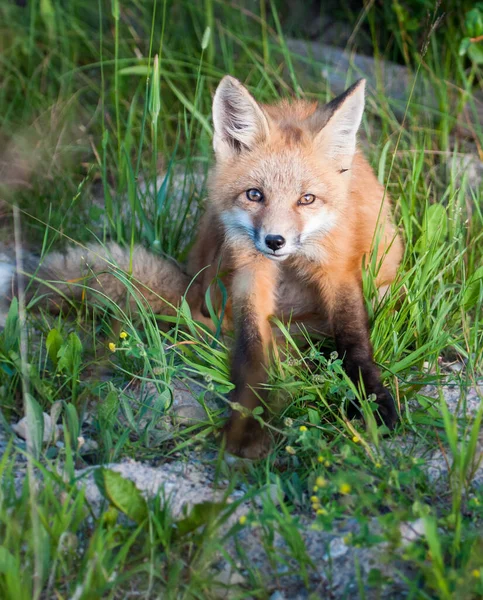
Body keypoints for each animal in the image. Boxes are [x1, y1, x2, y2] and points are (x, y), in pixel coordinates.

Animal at [17, 77, 404, 458]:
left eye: (306, 199)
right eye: (254, 195)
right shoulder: (249, 271)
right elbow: (250, 349)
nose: (274, 241)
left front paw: (372, 400)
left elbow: (353, 339)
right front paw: (248, 419)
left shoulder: (337, 268)